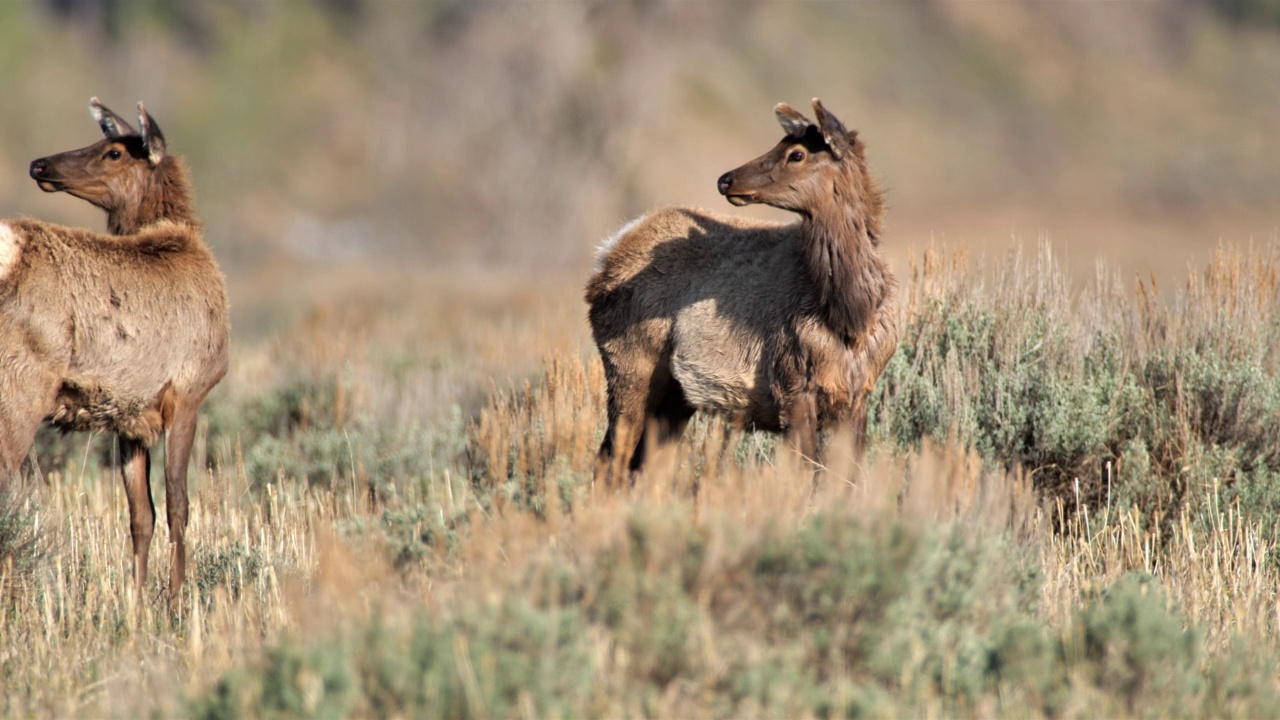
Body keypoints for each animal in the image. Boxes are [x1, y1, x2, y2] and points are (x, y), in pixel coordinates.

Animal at [1, 98, 230, 602]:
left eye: (114, 152)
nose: (39, 164)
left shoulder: (131, 414)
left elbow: (141, 516)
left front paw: (138, 601)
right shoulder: (190, 389)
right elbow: (179, 504)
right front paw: (177, 600)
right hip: (22, 381)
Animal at [586, 96, 896, 481]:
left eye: (796, 154)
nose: (726, 179)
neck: (850, 317)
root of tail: (607, 253)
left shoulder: (858, 393)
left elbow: (845, 479)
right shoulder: (791, 381)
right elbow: (802, 474)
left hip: (675, 396)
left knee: (644, 464)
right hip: (629, 363)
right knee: (610, 459)